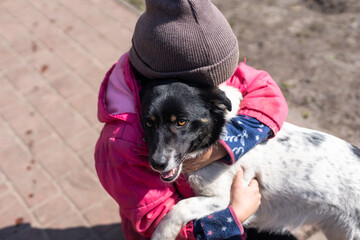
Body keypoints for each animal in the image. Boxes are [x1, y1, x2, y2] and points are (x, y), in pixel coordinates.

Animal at [139, 79, 360, 239]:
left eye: (181, 122)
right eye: (149, 123)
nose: (157, 163)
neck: (217, 135)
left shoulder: (222, 199)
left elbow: (178, 208)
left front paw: (161, 234)